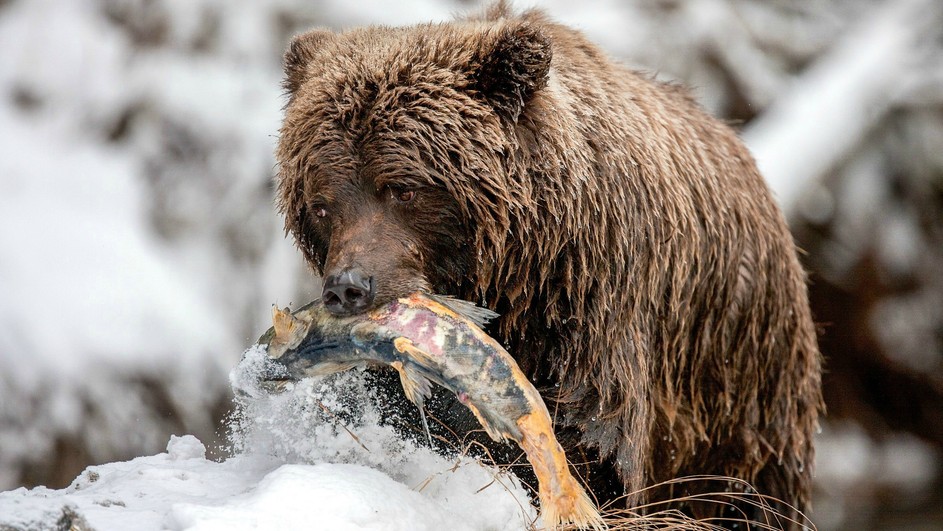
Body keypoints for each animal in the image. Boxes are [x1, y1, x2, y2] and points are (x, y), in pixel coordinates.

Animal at [274, 1, 824, 528]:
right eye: (321, 205)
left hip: (740, 376)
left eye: (402, 188)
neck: (514, 271)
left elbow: (592, 439)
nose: (349, 287)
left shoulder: (595, 300)